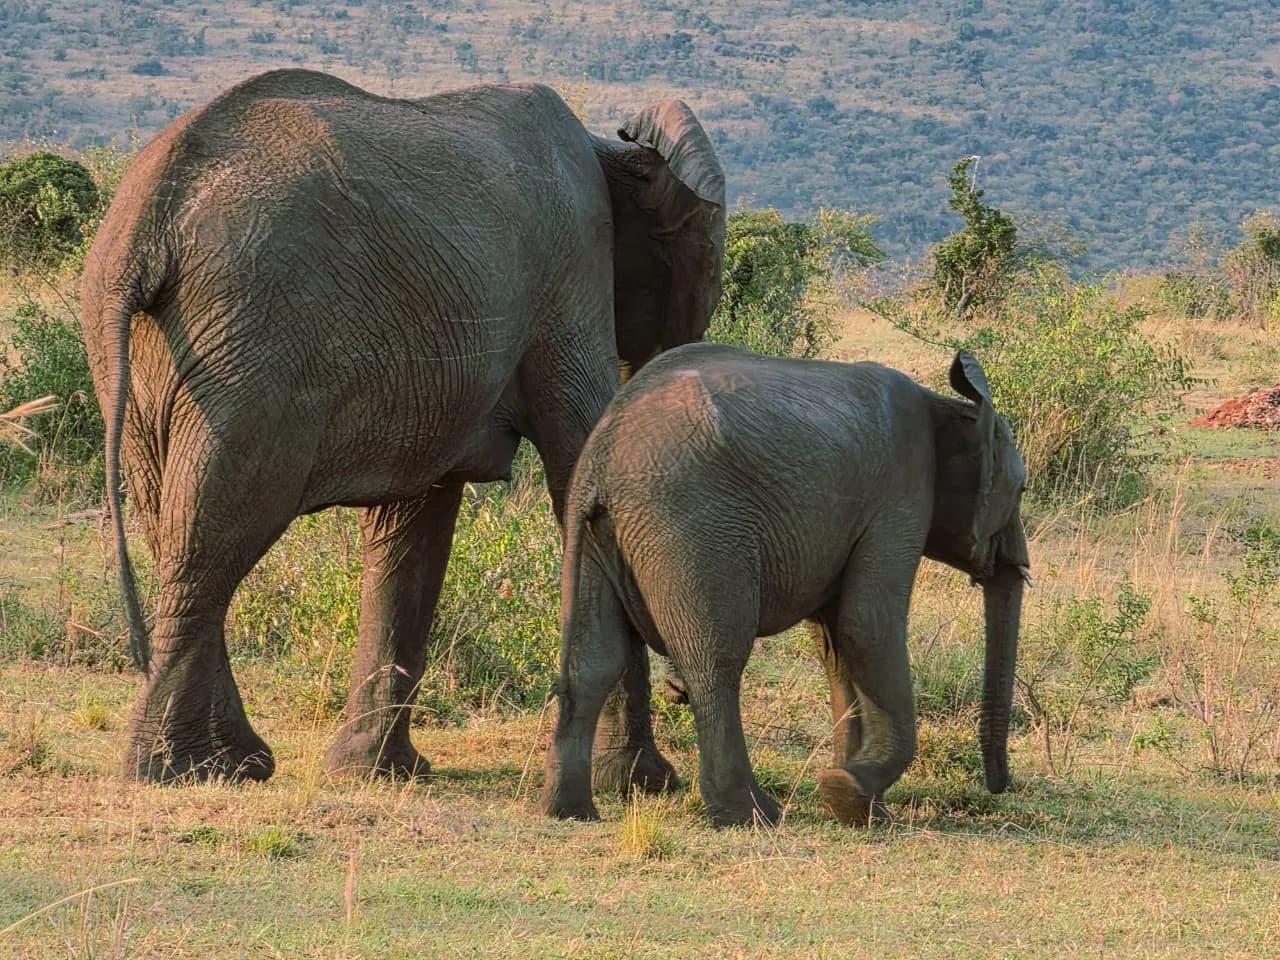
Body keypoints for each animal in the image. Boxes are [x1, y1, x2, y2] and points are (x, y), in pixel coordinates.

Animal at [79, 68, 725, 785]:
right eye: (708, 258)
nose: (681, 689)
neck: (609, 148)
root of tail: (148, 223)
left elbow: (414, 526)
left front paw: (373, 773)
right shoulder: (572, 282)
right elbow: (576, 477)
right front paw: (643, 784)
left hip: (152, 354)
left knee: (173, 527)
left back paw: (232, 764)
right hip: (250, 347)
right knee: (215, 528)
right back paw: (178, 769)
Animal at [540, 343, 1031, 827]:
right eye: (1023, 490)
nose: (999, 785)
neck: (945, 405)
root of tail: (602, 453)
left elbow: (835, 643)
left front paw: (853, 803)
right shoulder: (901, 495)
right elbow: (867, 627)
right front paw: (850, 794)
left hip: (598, 533)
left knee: (595, 661)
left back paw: (570, 811)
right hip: (690, 527)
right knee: (715, 659)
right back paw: (750, 815)